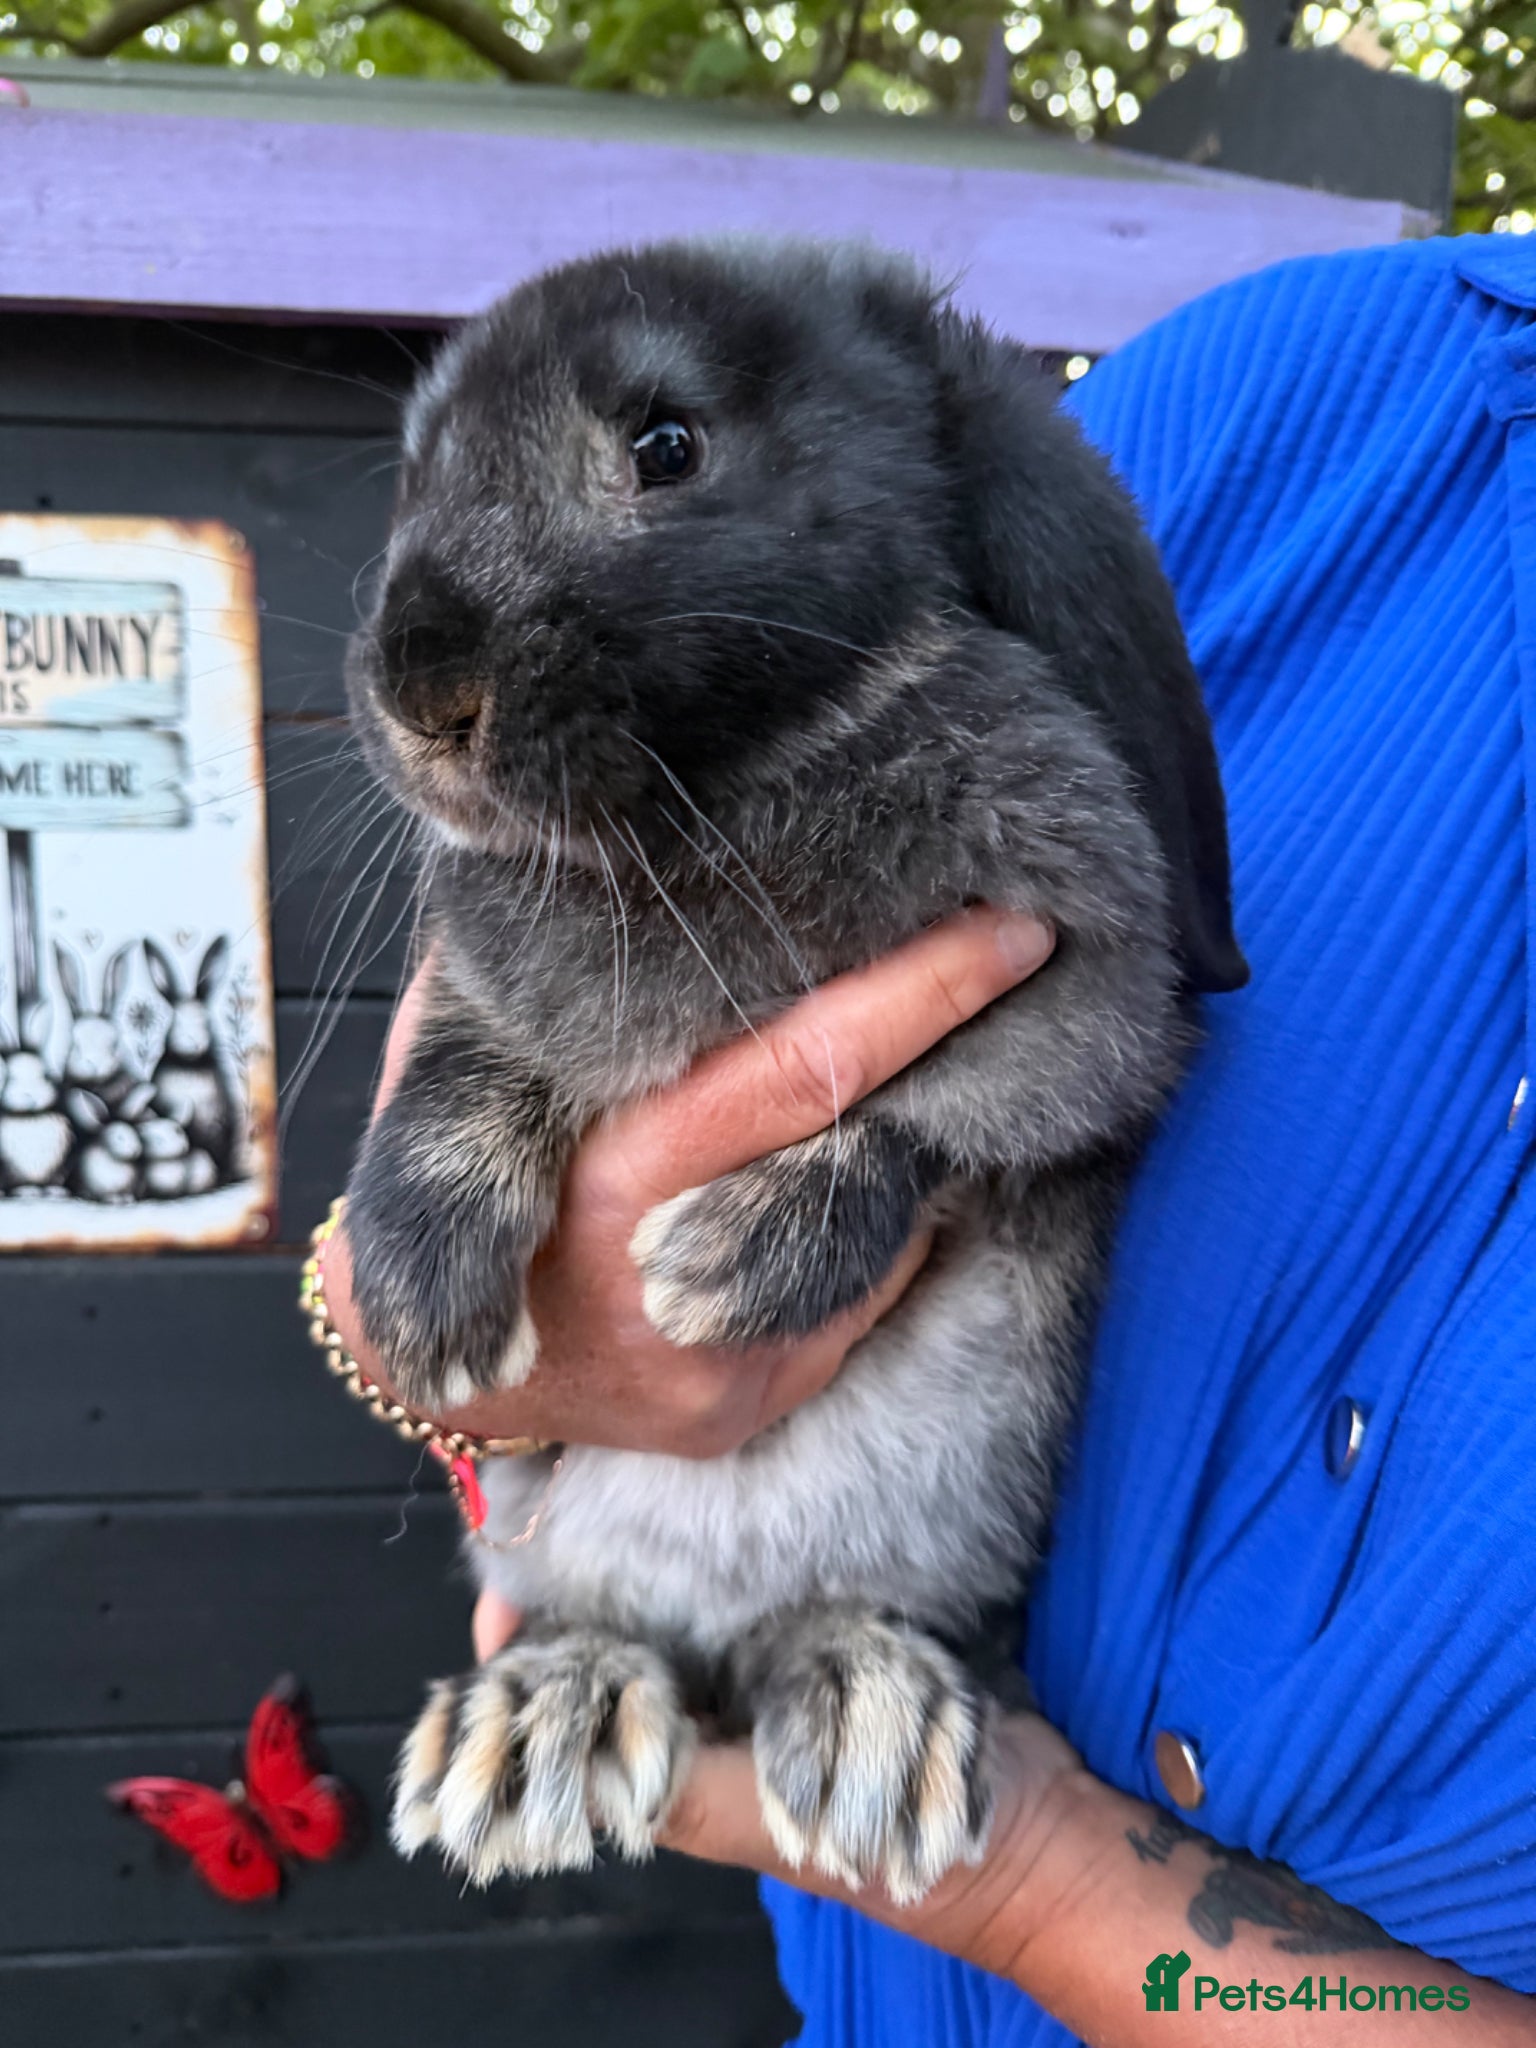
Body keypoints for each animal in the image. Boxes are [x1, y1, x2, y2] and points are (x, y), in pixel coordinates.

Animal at [0, 1002, 74, 1196]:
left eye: (45, 1076)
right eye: (10, 1078)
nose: (28, 1096)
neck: (29, 1116)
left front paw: (55, 1192)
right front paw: (25, 1191)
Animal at [340, 241, 1246, 1904]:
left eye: (666, 446)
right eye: (416, 476)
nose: (420, 692)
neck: (711, 798)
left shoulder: (1080, 985)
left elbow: (922, 1117)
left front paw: (726, 1265)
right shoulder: (480, 989)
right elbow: (458, 1072)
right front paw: (423, 1304)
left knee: (813, 1623)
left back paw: (872, 1718)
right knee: (612, 1625)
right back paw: (538, 1717)